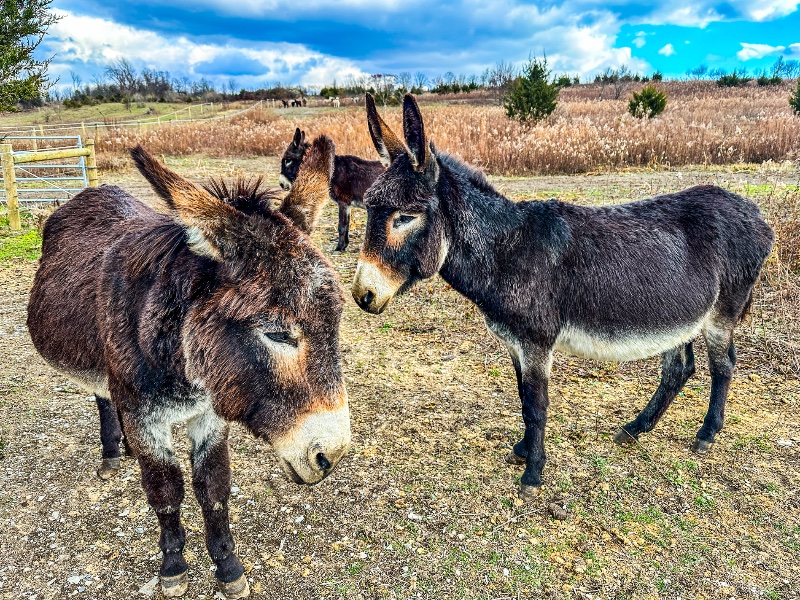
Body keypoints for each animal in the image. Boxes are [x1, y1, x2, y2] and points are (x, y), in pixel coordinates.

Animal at [351, 93, 774, 502]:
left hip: (721, 313)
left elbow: (537, 406)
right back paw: (636, 428)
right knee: (678, 369)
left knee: (723, 366)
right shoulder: (515, 343)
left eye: (405, 217)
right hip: (679, 318)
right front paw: (523, 451)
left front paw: (533, 475)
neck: (507, 250)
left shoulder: (537, 343)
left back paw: (705, 435)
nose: (362, 295)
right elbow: (523, 399)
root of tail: (754, 212)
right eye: (369, 210)